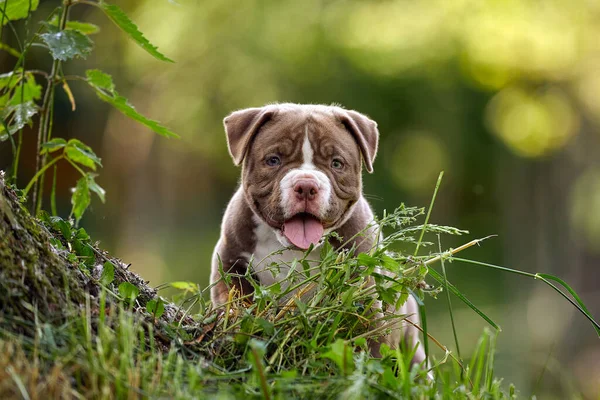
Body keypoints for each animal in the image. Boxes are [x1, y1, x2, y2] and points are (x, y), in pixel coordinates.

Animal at [210, 102, 426, 368]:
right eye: (273, 160)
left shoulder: (363, 283)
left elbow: (372, 331)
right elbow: (234, 301)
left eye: (336, 163)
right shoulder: (230, 262)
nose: (306, 185)